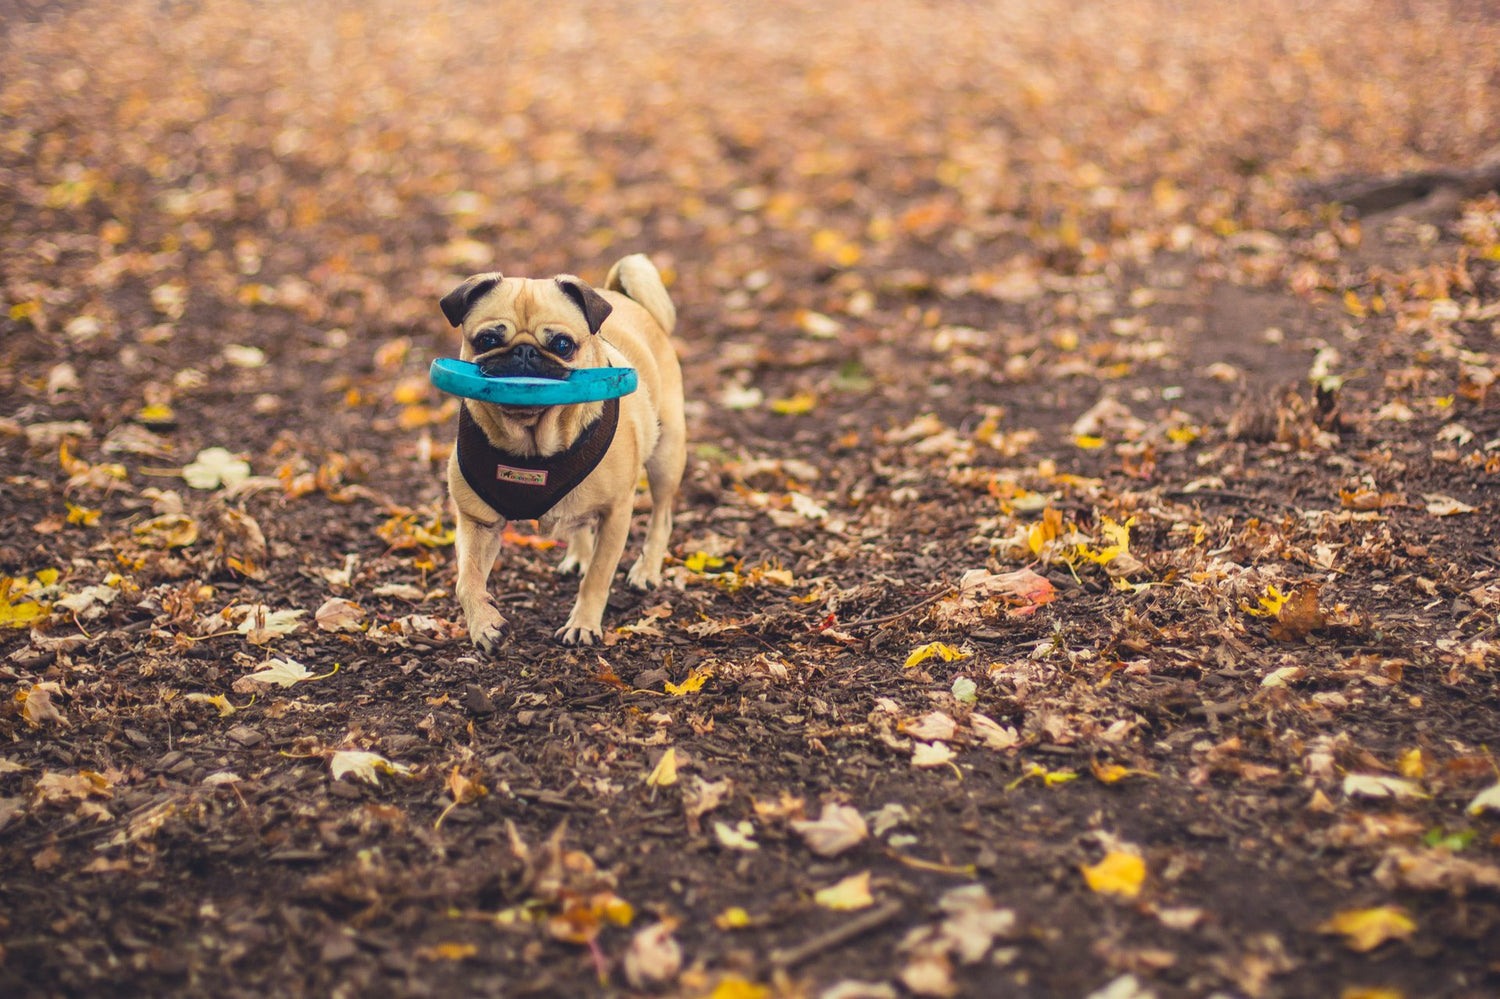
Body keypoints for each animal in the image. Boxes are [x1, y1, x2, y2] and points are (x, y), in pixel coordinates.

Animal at [438, 253, 687, 651]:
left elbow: (599, 576)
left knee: (661, 517)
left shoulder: (617, 513)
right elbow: (467, 579)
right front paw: (484, 624)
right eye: (488, 340)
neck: (531, 444)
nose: (524, 352)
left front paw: (583, 624)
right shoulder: (477, 521)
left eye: (561, 345)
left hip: (666, 456)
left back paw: (646, 571)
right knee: (578, 522)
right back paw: (578, 557)